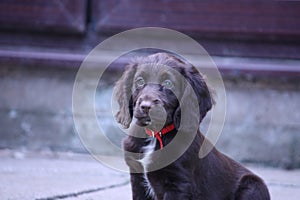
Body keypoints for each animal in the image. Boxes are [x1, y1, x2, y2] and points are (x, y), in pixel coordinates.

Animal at [114, 52, 270, 199]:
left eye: (168, 83)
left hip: (253, 185)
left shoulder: (178, 184)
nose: (146, 106)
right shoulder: (137, 177)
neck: (156, 135)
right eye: (140, 81)